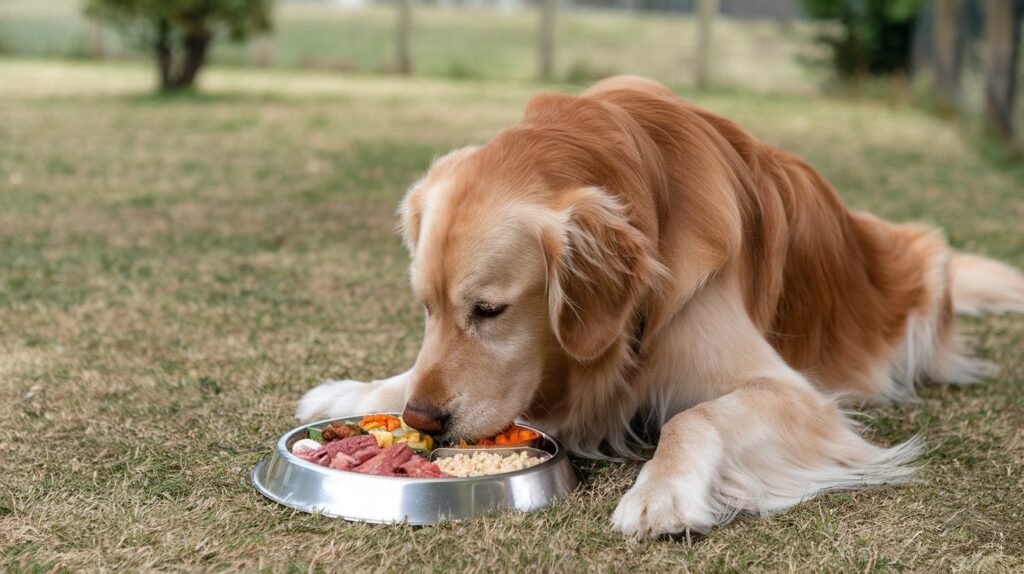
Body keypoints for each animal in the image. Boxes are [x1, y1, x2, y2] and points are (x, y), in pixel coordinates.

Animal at [294, 76, 1024, 536]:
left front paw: (662, 492)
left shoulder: (796, 395)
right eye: (426, 308)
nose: (423, 419)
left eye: (491, 311)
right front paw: (356, 390)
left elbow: (694, 417)